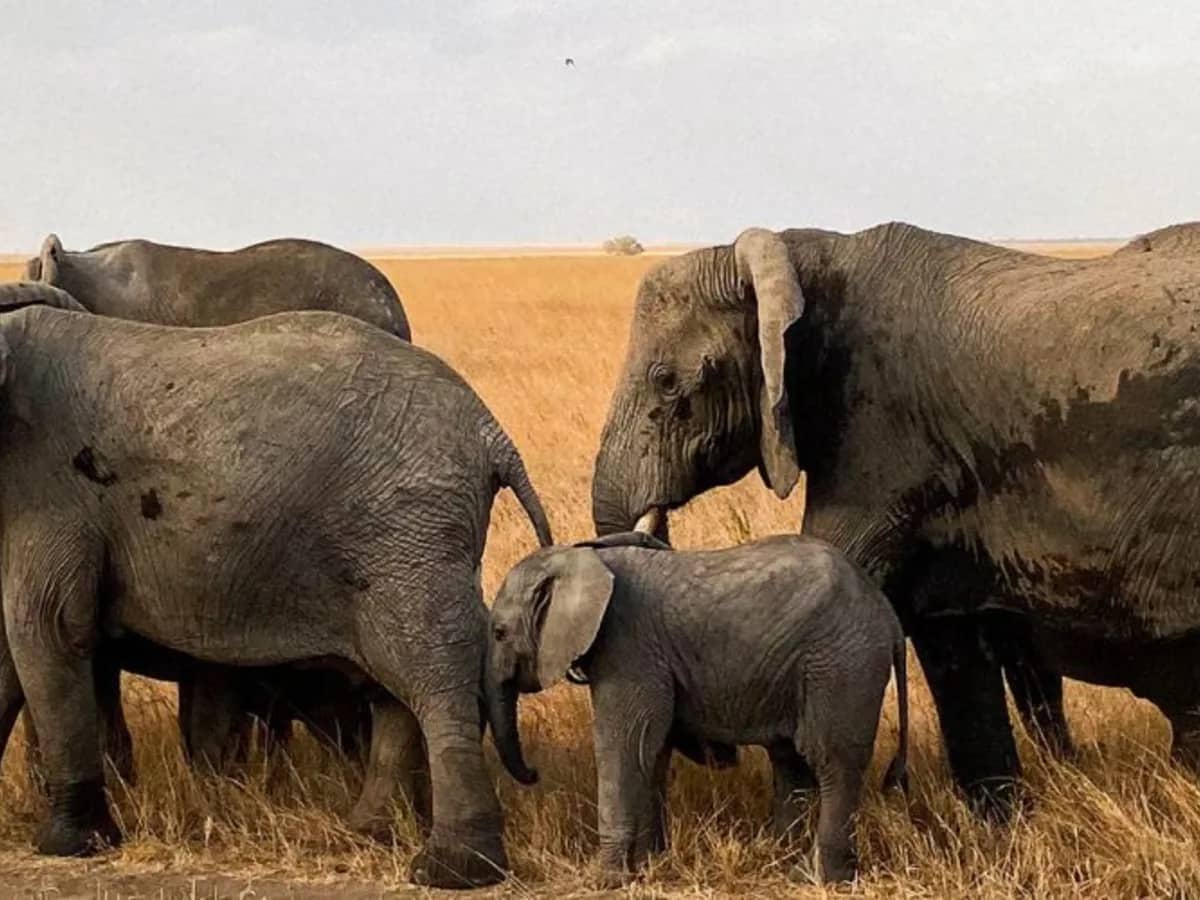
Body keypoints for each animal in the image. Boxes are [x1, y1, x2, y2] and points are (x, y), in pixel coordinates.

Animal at [0, 293, 550, 888]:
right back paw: (369, 832)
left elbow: (49, 629)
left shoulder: (49, 492)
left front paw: (70, 845)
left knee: (431, 674)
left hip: (407, 527)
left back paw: (452, 870)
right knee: (396, 684)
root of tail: (490, 432)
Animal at [488, 532, 909, 885]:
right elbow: (651, 750)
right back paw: (781, 858)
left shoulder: (628, 648)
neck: (582, 557)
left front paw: (604, 879)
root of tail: (887, 613)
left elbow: (623, 745)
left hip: (840, 665)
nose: (534, 773)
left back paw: (816, 877)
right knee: (792, 763)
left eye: (499, 633)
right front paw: (650, 864)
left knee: (832, 761)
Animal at [590, 221, 1200, 817]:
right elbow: (951, 644)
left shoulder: (879, 437)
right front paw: (1000, 826)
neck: (803, 255)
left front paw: (786, 838)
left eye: (667, 381)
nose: (713, 754)